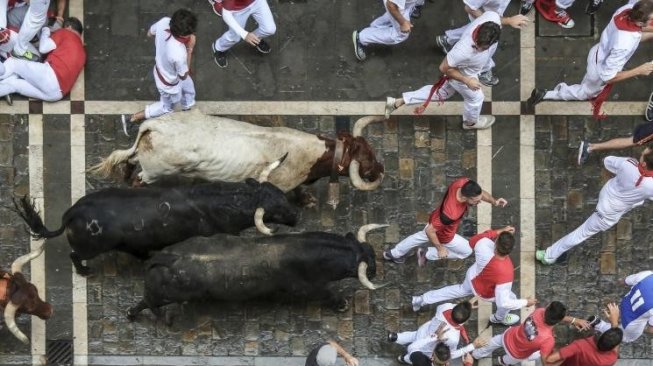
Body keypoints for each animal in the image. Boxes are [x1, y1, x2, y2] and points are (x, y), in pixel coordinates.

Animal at [12, 157, 298, 274]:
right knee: (75, 255)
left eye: (281, 194)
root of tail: (72, 212)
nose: (295, 217)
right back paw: (84, 271)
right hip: (90, 248)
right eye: (277, 209)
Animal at [86, 110, 382, 207]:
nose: (380, 168)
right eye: (366, 158)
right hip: (154, 172)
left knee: (129, 163)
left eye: (371, 150)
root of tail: (153, 126)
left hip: (143, 160)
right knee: (138, 180)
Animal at [126, 223, 388, 320]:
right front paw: (341, 304)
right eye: (369, 264)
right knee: (148, 301)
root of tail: (166, 257)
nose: (376, 271)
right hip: (167, 295)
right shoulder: (309, 288)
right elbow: (328, 294)